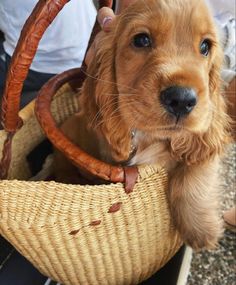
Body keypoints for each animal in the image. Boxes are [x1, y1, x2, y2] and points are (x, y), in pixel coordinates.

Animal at [54, 0, 230, 248]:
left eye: (205, 46)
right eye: (141, 40)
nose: (181, 99)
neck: (147, 136)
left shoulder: (204, 135)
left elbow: (195, 169)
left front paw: (201, 229)